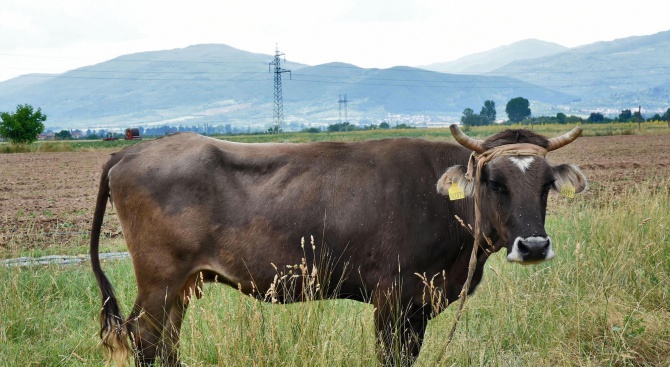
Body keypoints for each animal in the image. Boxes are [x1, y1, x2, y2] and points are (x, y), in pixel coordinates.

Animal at [90, 125, 588, 366]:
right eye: (494, 181)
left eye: (546, 184)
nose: (534, 245)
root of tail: (131, 151)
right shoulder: (395, 297)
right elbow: (392, 357)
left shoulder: (418, 303)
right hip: (160, 278)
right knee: (145, 340)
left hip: (182, 284)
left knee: (165, 343)